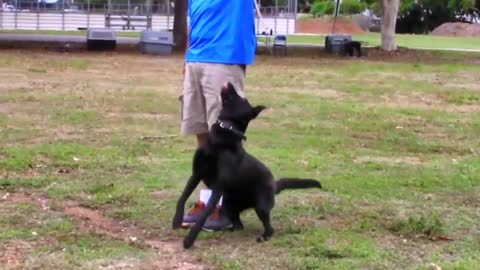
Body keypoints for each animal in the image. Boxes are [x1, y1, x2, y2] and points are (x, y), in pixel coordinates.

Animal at [172, 83, 322, 249]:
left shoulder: (218, 187)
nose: (229, 83)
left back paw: (263, 237)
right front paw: (177, 220)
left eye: (243, 98)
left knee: (270, 228)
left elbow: (204, 214)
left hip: (261, 207)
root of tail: (274, 184)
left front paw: (189, 240)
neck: (224, 134)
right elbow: (183, 197)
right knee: (238, 223)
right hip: (228, 204)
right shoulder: (196, 174)